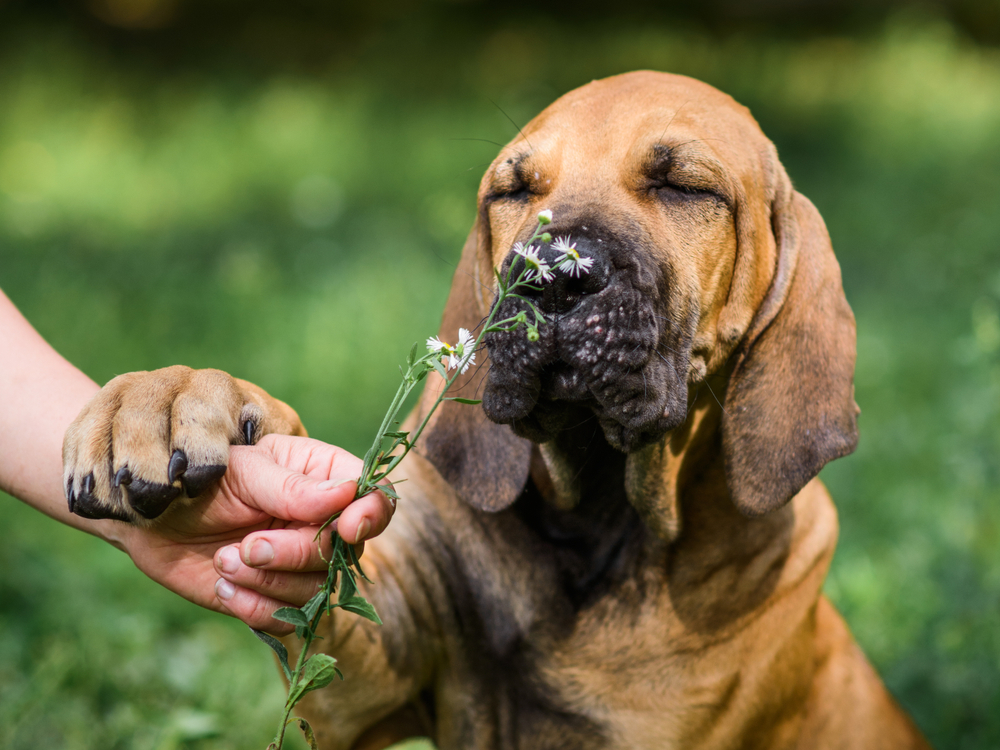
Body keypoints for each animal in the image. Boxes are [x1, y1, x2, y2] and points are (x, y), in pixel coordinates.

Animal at [66, 72, 932, 750]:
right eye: (514, 191)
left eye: (685, 186)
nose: (549, 275)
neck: (598, 523)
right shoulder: (368, 677)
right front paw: (167, 400)